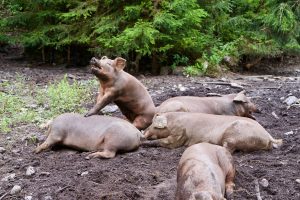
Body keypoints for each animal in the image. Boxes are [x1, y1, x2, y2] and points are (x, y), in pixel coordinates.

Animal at [144, 111, 282, 152]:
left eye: (153, 125)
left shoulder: (179, 134)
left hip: (234, 135)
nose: (144, 131)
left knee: (229, 148)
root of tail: (268, 136)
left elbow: (167, 142)